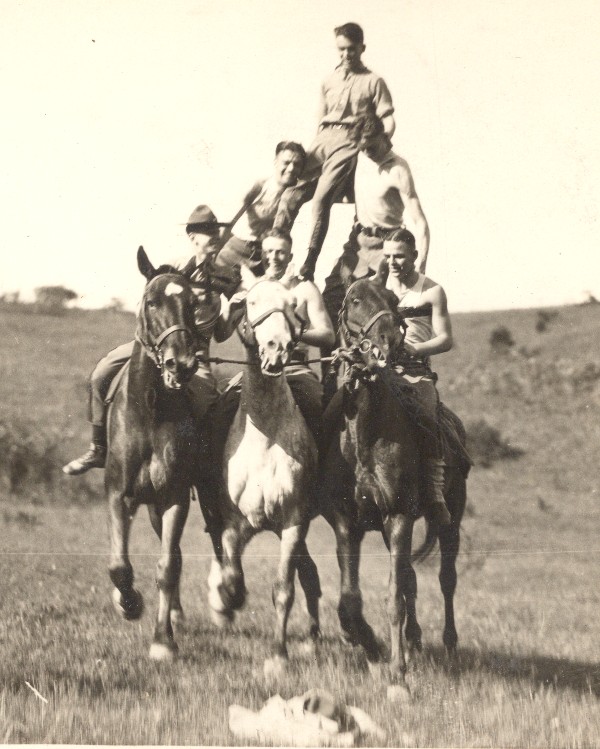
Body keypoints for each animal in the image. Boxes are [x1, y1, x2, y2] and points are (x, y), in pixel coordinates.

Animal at [210, 264, 326, 676]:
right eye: (250, 302)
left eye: (293, 306)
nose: (276, 349)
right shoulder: (235, 524)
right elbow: (231, 573)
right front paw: (227, 600)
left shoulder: (292, 522)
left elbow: (283, 590)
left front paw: (278, 656)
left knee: (308, 577)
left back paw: (312, 640)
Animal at [322, 274, 466, 700]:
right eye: (354, 300)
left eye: (391, 301)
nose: (388, 341)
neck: (366, 434)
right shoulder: (346, 523)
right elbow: (351, 599)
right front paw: (371, 647)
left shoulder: (398, 517)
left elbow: (393, 597)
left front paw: (397, 672)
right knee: (412, 580)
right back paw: (415, 641)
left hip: (451, 520)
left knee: (445, 580)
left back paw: (449, 645)